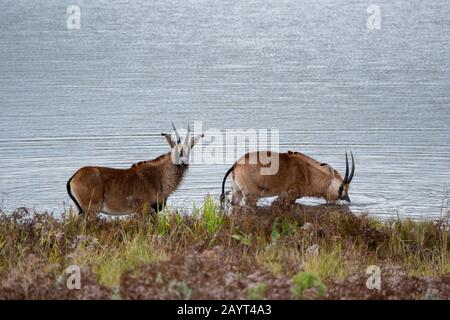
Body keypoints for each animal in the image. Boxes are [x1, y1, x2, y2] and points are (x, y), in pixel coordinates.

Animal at [66, 124, 203, 216]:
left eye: (188, 150)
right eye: (175, 150)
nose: (182, 163)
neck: (158, 175)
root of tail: (74, 177)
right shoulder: (143, 210)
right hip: (91, 210)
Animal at [221, 151, 356, 208]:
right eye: (341, 187)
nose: (348, 200)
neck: (307, 172)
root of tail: (236, 164)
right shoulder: (289, 196)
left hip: (237, 192)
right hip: (251, 196)